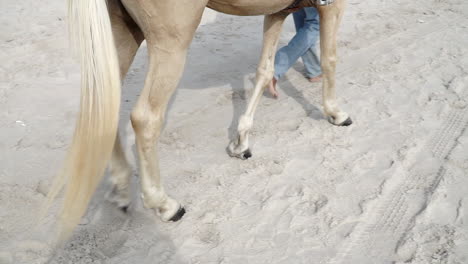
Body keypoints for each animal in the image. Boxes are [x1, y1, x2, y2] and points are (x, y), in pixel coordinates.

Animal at [45, 0, 352, 240]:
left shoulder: (276, 11)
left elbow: (264, 70)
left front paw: (241, 142)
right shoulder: (331, 6)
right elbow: (330, 58)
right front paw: (335, 113)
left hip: (122, 30)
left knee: (105, 102)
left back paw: (121, 188)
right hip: (170, 44)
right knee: (145, 119)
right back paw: (164, 204)